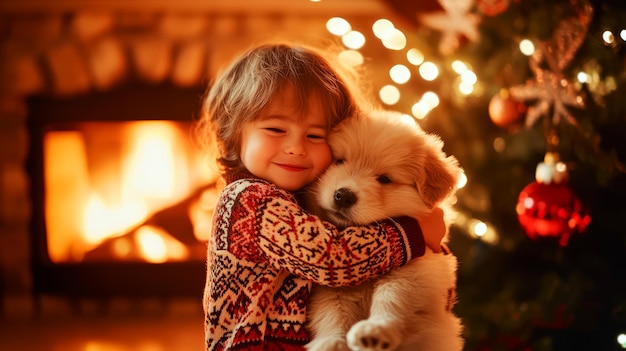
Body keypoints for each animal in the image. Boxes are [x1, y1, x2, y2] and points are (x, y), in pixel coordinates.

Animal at [304, 110, 464, 351]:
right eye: (339, 161)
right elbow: (332, 315)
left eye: (385, 179)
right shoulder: (331, 289)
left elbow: (391, 298)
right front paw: (331, 342)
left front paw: (375, 330)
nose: (343, 196)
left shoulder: (415, 271)